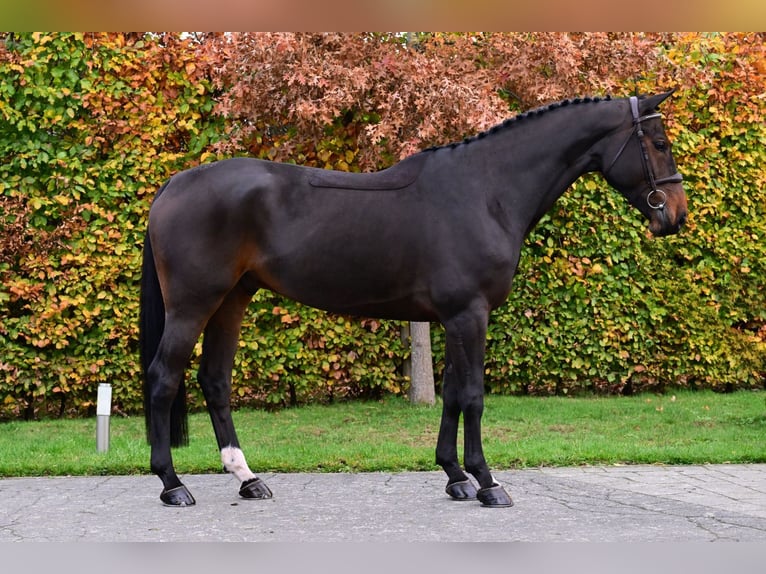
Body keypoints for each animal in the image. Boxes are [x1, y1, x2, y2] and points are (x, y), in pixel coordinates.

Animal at [140, 91, 687, 507]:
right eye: (659, 143)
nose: (676, 215)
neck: (486, 190)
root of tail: (174, 183)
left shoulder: (452, 319)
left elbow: (452, 394)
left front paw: (455, 478)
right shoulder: (470, 315)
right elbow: (473, 396)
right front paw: (487, 482)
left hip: (232, 300)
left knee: (215, 380)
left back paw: (248, 479)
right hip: (193, 304)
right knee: (163, 378)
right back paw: (172, 485)